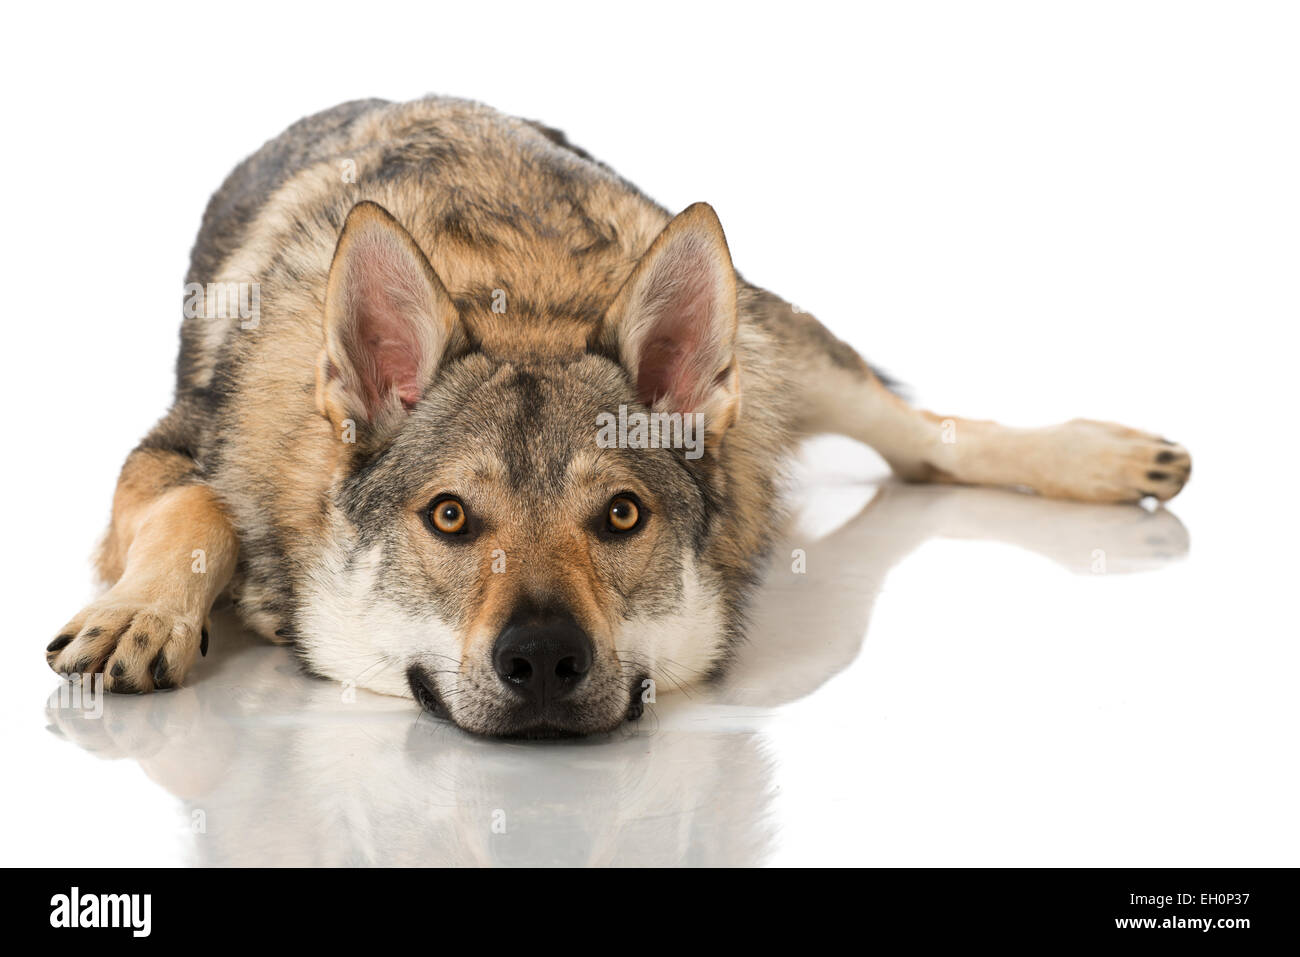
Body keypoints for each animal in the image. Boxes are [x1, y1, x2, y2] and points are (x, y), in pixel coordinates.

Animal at [48, 97, 1190, 738]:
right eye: (450, 516)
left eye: (623, 516)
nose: (545, 659)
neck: (520, 296)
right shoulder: (166, 449)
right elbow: (195, 508)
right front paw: (139, 614)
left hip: (776, 345)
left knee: (925, 440)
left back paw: (1108, 457)